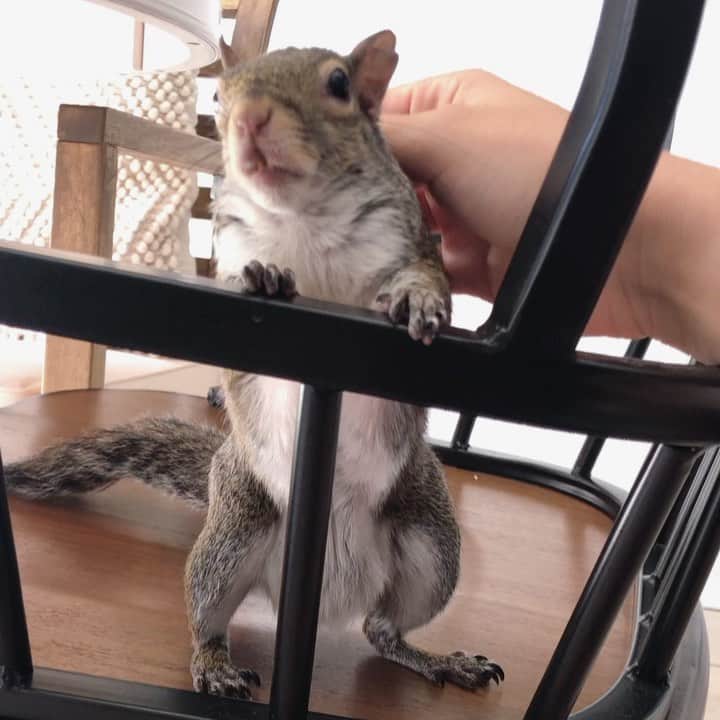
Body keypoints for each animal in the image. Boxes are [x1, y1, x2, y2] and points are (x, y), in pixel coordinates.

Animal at [5, 30, 504, 699]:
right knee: (208, 621)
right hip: (234, 533)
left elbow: (425, 272)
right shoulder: (231, 243)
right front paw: (260, 275)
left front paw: (419, 299)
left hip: (431, 542)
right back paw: (214, 664)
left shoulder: (413, 236)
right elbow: (235, 273)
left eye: (340, 84)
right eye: (219, 94)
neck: (304, 218)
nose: (249, 121)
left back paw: (438, 659)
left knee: (383, 630)